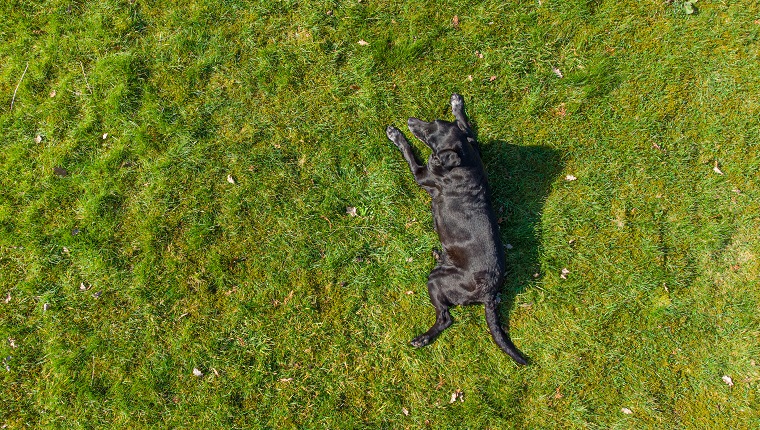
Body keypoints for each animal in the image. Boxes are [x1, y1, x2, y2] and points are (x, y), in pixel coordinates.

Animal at [386, 94, 528, 366]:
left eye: (429, 135)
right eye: (432, 121)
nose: (410, 120)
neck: (463, 162)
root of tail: (489, 294)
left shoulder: (421, 174)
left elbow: (409, 152)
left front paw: (396, 134)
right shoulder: (473, 144)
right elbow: (466, 126)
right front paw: (457, 104)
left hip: (436, 280)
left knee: (446, 318)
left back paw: (423, 338)